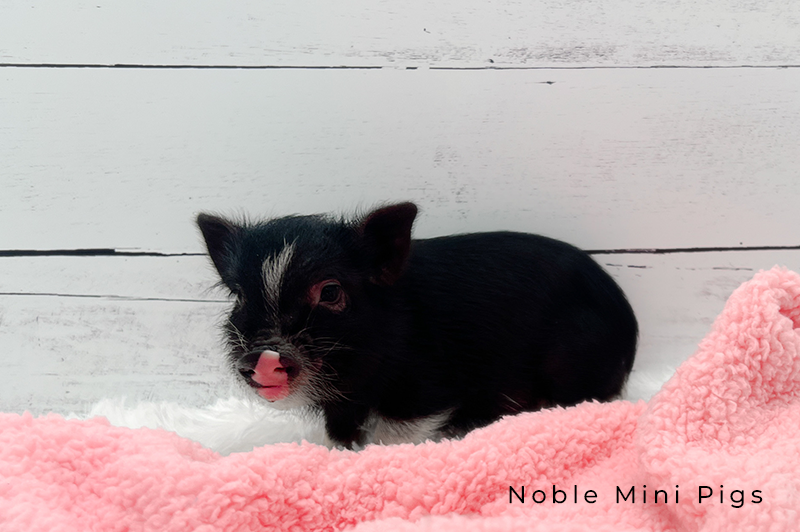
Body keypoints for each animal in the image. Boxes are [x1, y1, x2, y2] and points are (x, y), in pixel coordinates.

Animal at [197, 202, 637, 449]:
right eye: (240, 296)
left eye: (331, 291)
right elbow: (339, 435)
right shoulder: (344, 405)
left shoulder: (427, 388)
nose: (263, 354)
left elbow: (398, 433)